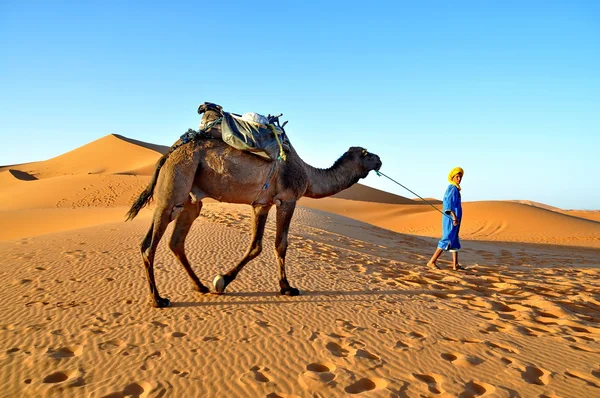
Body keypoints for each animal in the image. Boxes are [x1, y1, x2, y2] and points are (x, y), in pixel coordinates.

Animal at [126, 105, 382, 308]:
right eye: (366, 153)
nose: (379, 159)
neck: (309, 176)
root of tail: (172, 150)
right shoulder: (287, 199)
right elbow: (280, 244)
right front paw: (287, 287)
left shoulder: (262, 204)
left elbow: (256, 245)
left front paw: (220, 281)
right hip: (174, 186)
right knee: (149, 244)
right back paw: (158, 299)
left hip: (190, 199)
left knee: (176, 241)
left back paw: (200, 286)